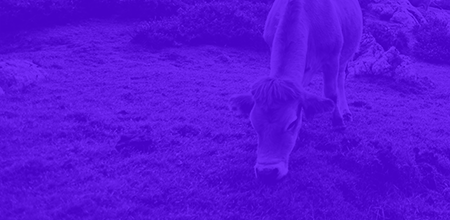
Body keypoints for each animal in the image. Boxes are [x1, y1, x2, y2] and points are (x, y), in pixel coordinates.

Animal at [230, 0, 364, 182]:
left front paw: (338, 122)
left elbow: (331, 94)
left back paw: (345, 112)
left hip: (346, 54)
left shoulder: (332, 57)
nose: (267, 173)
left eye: (291, 123)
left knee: (341, 78)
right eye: (253, 123)